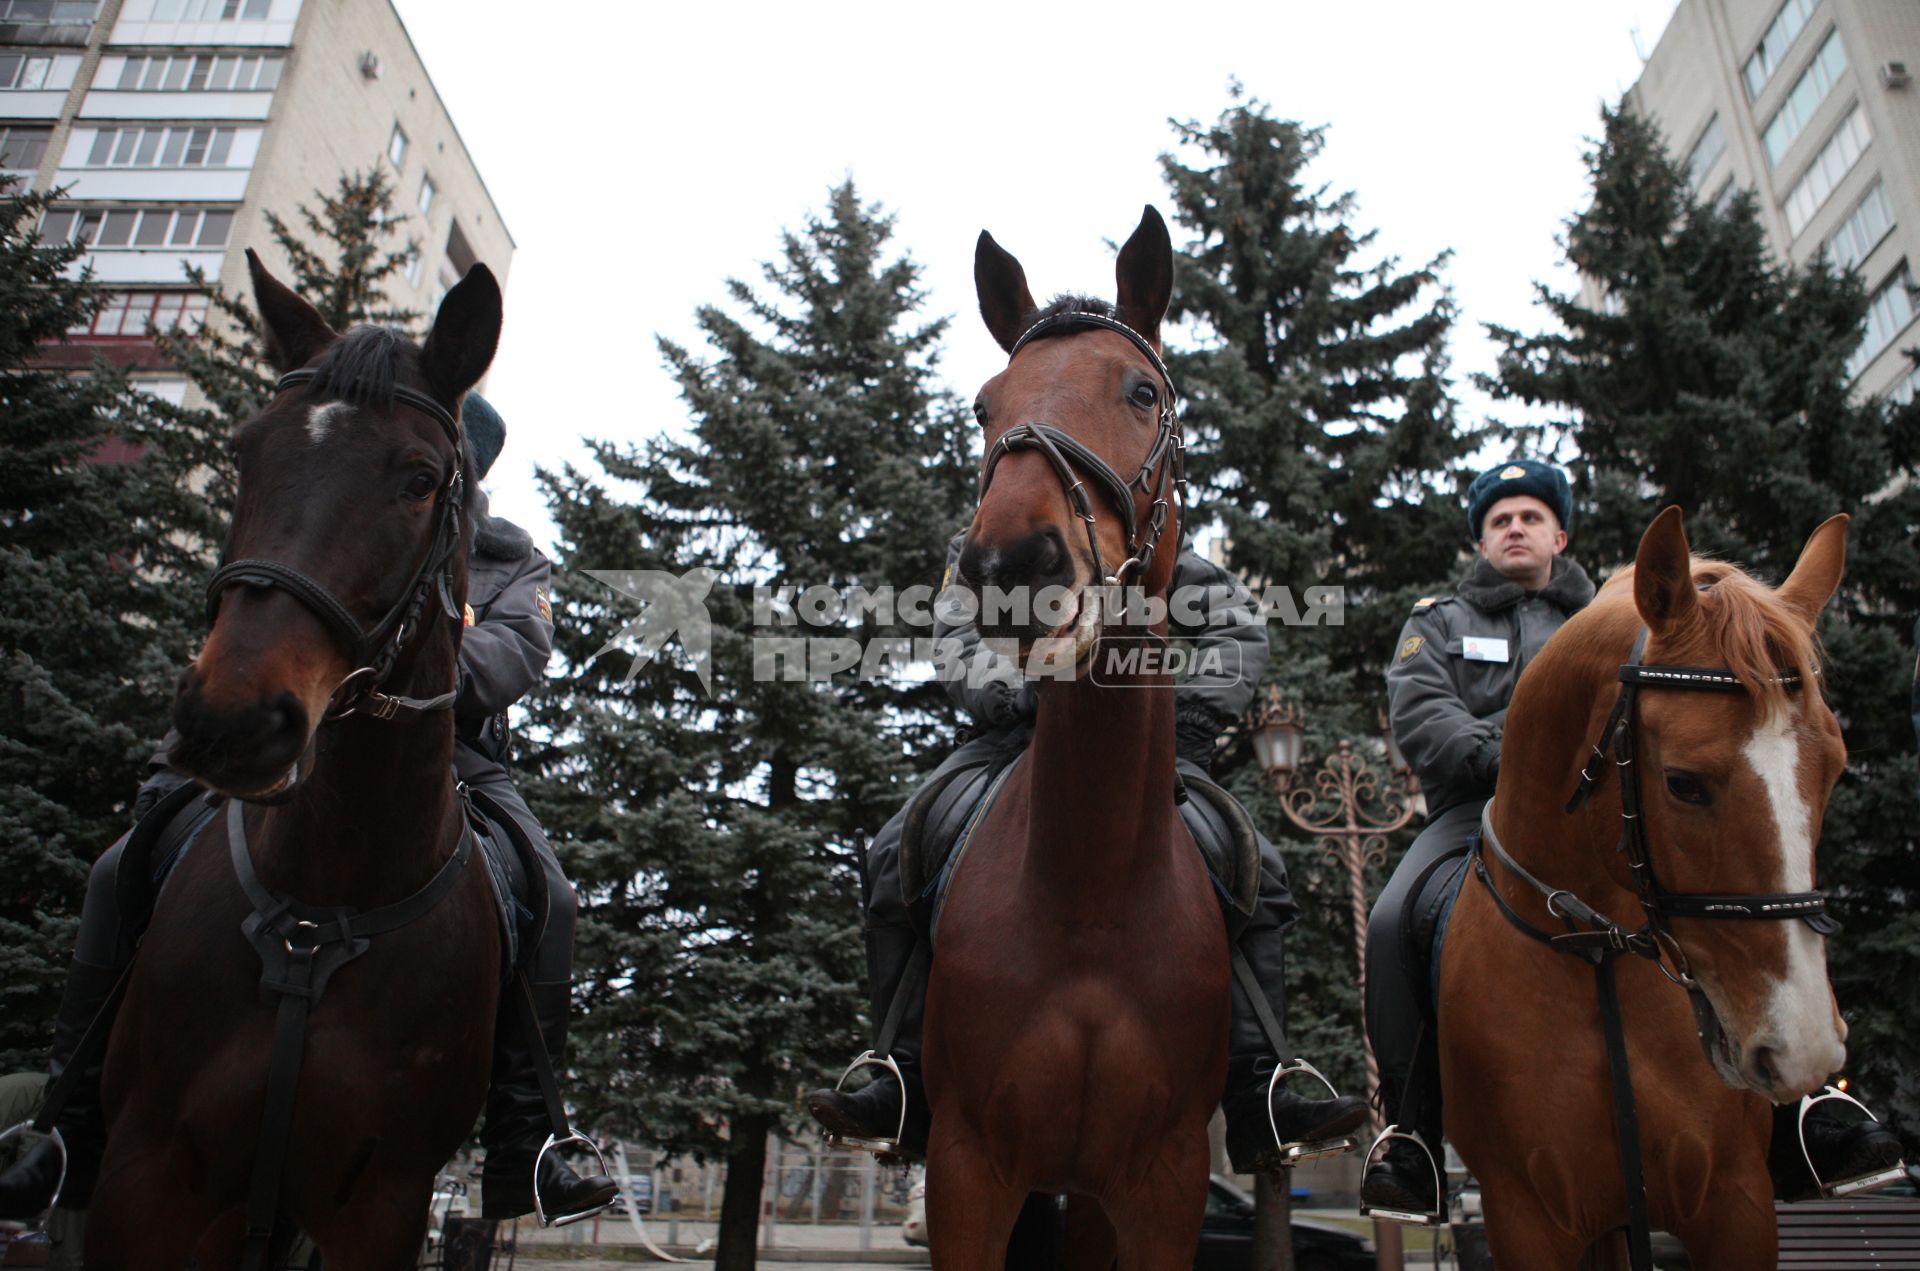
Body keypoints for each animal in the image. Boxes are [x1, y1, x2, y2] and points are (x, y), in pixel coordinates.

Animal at [84, 251, 503, 1271]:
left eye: (421, 478)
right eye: (245, 452)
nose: (233, 720)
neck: (324, 897)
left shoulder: (381, 1205)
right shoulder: (148, 1177)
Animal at [921, 204, 1221, 1267]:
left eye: (1142, 390)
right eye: (982, 407)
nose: (1012, 560)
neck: (1092, 896)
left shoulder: (1162, 1183)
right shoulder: (965, 1167)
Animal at [1443, 510, 1850, 1271]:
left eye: (1835, 768)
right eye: (1684, 782)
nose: (1802, 1047)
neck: (1596, 953)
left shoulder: (1736, 1198)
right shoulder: (1523, 1212)